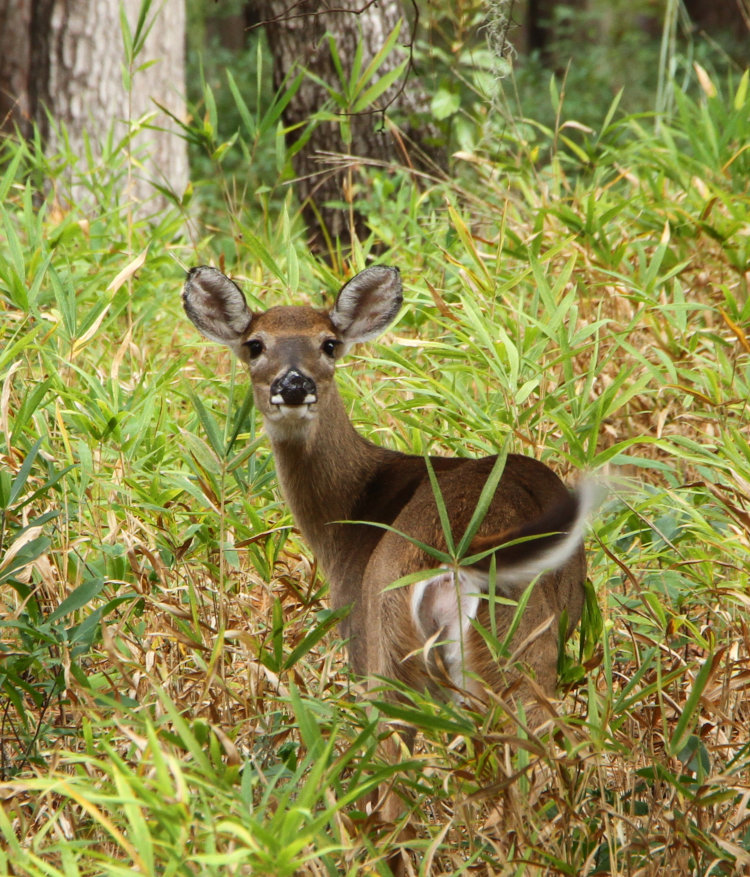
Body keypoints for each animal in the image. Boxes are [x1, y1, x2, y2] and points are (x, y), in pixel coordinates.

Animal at [182, 264, 592, 717]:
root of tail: (456, 561)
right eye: (255, 344)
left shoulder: (356, 629)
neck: (352, 509)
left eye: (329, 343)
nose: (293, 385)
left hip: (439, 649)